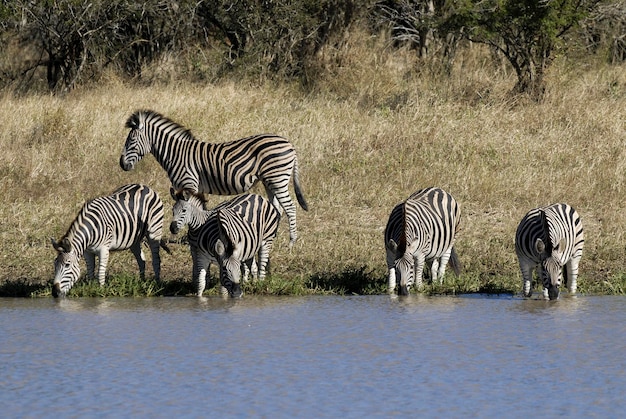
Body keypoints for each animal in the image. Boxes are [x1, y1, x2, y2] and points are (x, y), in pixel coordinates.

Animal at [117, 110, 308, 249]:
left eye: (131, 141)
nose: (122, 164)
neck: (176, 154)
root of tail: (289, 144)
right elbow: (200, 208)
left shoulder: (189, 183)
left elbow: (192, 207)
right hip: (270, 181)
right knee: (277, 208)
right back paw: (270, 236)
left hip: (278, 178)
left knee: (290, 207)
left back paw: (291, 242)